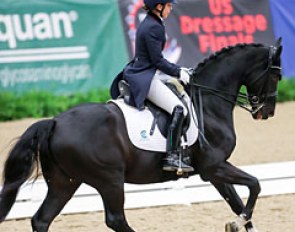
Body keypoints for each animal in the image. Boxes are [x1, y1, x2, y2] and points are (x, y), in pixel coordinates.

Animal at [0, 40, 284, 231]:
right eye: (276, 75)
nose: (267, 112)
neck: (208, 100)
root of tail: (55, 122)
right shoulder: (214, 166)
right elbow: (255, 184)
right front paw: (238, 222)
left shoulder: (213, 171)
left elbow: (236, 200)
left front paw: (239, 223)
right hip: (109, 180)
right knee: (115, 219)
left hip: (64, 182)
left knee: (41, 220)